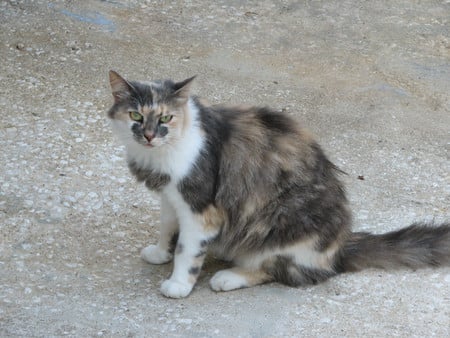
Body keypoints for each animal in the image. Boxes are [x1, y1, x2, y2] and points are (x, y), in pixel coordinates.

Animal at [106, 70, 450, 298]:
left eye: (165, 118)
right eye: (136, 115)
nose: (149, 135)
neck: (160, 155)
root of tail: (341, 246)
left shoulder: (201, 211)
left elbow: (187, 251)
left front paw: (179, 284)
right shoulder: (171, 198)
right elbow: (166, 229)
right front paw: (160, 253)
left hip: (278, 226)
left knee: (279, 271)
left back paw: (228, 277)